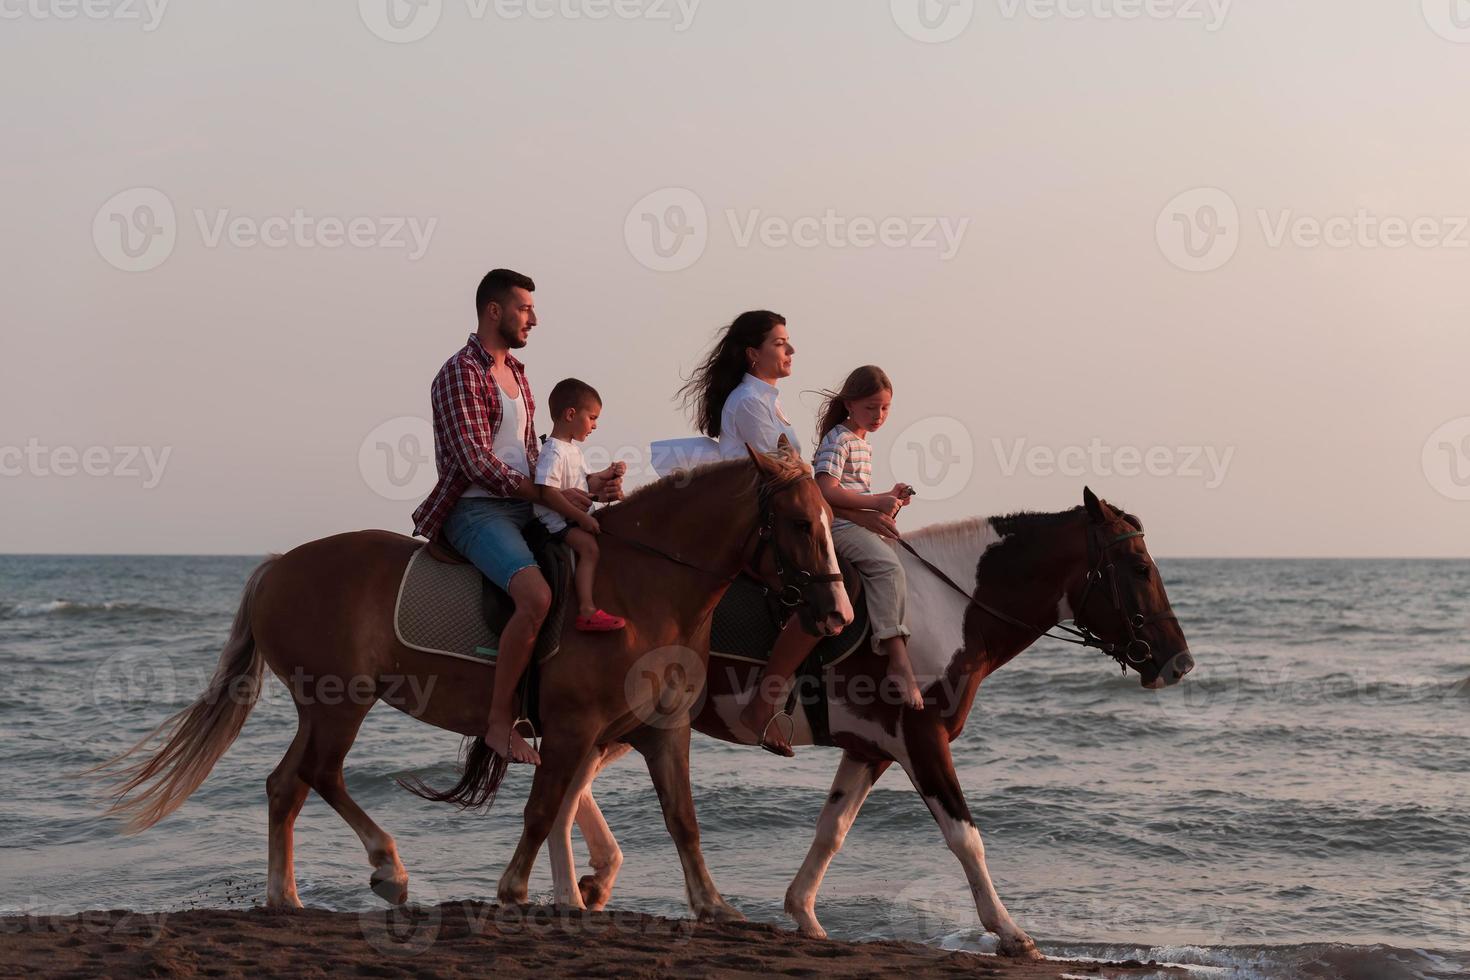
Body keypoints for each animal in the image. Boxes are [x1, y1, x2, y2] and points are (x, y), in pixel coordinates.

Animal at [94, 443, 852, 922]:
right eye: (797, 522)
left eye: (827, 521)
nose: (837, 613)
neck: (644, 588)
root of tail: (278, 566)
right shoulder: (574, 730)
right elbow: (544, 811)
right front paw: (518, 890)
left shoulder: (663, 732)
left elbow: (683, 820)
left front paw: (713, 904)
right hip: (339, 703)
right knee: (315, 775)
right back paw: (384, 871)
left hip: (324, 707)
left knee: (291, 784)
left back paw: (295, 895)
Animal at [552, 487, 1193, 963]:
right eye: (1139, 568)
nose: (1179, 661)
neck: (947, 608)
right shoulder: (922, 740)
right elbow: (966, 837)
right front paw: (1010, 932)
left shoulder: (873, 749)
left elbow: (832, 829)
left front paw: (804, 913)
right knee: (564, 781)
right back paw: (576, 887)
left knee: (572, 783)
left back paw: (589, 883)